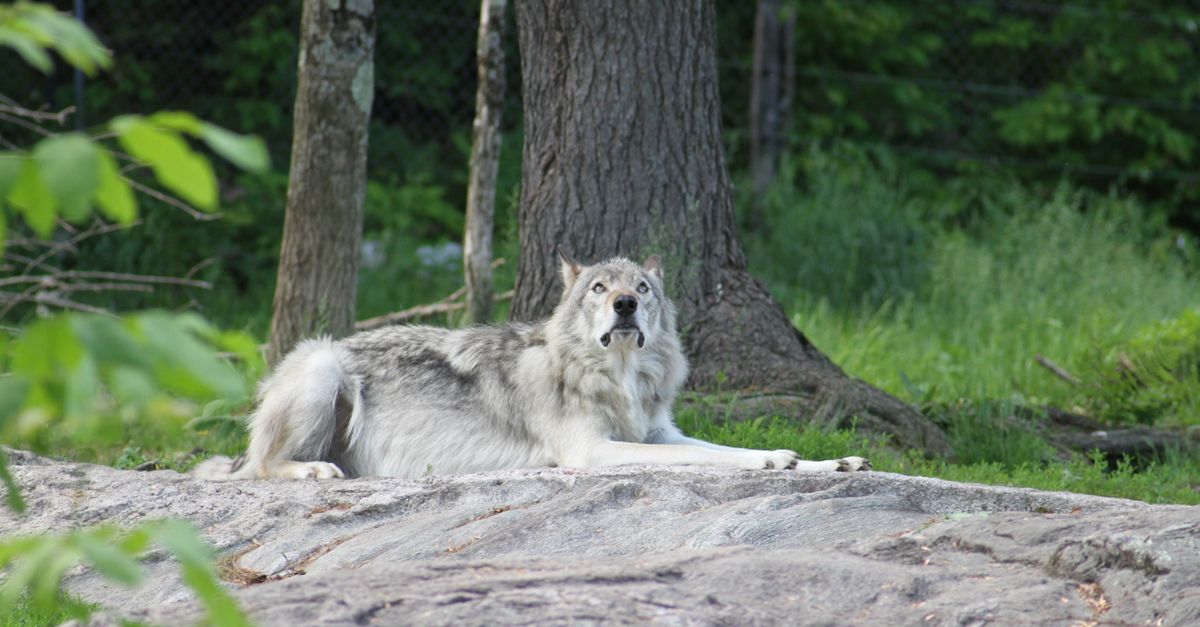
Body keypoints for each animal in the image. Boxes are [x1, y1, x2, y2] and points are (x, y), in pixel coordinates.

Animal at [193, 250, 870, 480]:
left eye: (641, 288)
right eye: (598, 288)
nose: (625, 304)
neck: (616, 378)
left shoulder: (659, 433)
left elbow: (724, 448)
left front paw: (817, 460)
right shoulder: (592, 451)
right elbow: (709, 458)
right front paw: (776, 462)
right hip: (323, 371)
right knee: (258, 468)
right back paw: (315, 472)